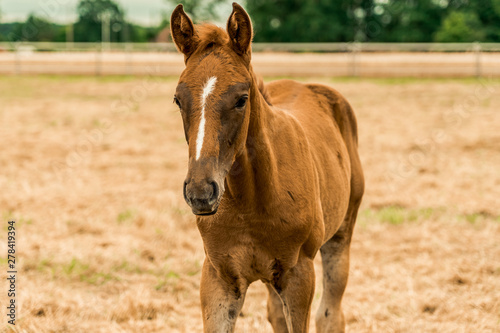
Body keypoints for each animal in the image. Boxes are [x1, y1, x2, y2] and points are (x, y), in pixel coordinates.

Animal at [171, 3, 364, 332]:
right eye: (177, 100)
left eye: (241, 99)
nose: (200, 192)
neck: (251, 202)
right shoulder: (218, 276)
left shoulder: (299, 274)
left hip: (340, 236)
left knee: (331, 314)